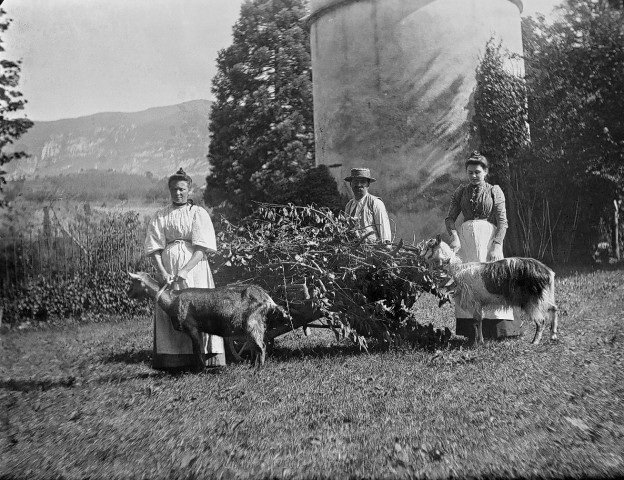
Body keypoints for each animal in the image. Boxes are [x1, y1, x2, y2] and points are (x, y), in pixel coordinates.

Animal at [426, 236, 560, 344]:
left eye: (429, 246)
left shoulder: (475, 302)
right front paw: (478, 341)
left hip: (531, 300)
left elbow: (477, 322)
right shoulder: (478, 303)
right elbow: (477, 322)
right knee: (554, 308)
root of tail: (549, 273)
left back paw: (535, 342)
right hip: (543, 296)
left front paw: (478, 342)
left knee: (541, 321)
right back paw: (553, 335)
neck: (457, 269)